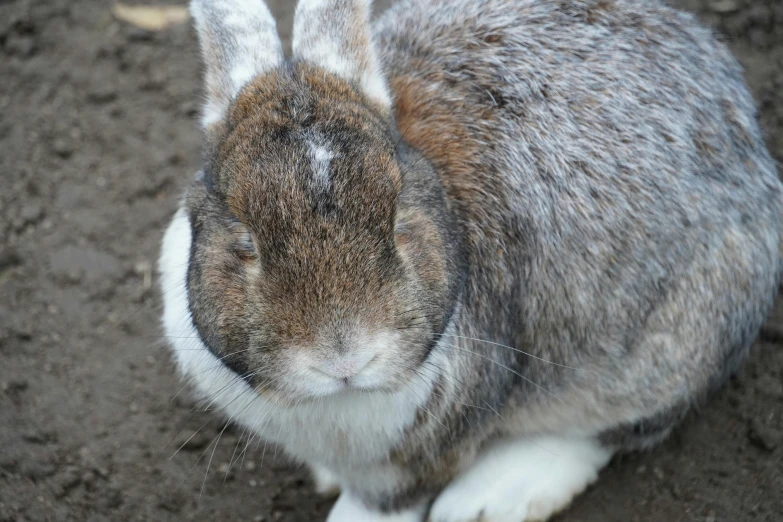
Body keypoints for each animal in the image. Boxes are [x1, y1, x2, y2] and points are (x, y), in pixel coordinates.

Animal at [158, 0, 783, 516]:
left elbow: (386, 502)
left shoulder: (420, 453)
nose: (345, 358)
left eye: (398, 219)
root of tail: (752, 147)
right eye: (245, 243)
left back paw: (494, 497)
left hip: (682, 336)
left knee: (616, 428)